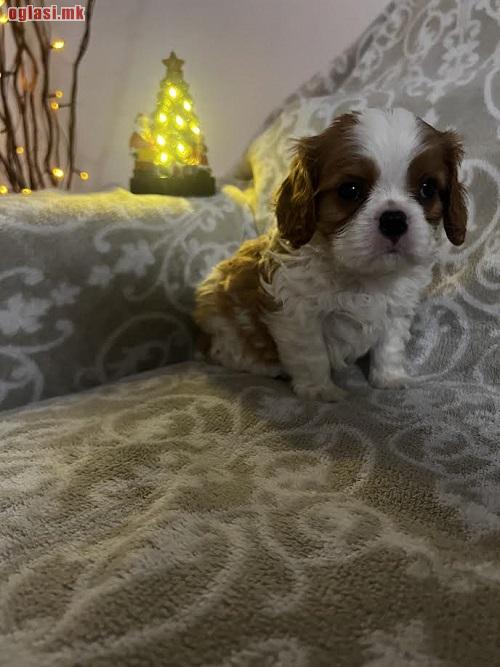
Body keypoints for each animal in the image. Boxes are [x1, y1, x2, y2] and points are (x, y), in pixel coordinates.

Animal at [194, 108, 467, 401]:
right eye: (350, 190)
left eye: (428, 188)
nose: (394, 220)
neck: (364, 276)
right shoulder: (298, 313)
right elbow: (311, 355)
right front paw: (320, 390)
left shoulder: (396, 311)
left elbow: (390, 346)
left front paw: (389, 378)